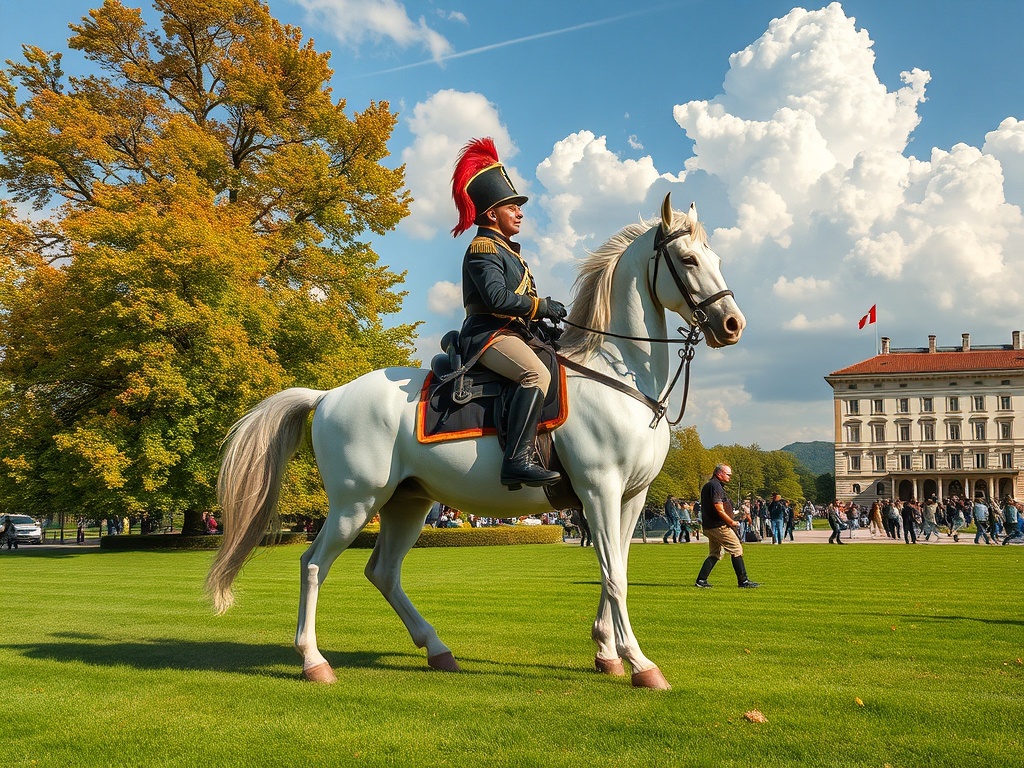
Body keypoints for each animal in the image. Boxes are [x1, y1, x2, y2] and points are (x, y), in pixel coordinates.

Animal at [206, 193, 745, 689]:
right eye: (689, 260)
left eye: (718, 258)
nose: (733, 325)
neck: (617, 375)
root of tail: (329, 394)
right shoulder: (600, 490)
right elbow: (614, 576)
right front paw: (641, 664)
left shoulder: (632, 497)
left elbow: (619, 570)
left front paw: (607, 653)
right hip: (354, 503)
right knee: (314, 564)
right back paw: (314, 661)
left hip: (408, 503)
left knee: (383, 572)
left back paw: (437, 649)